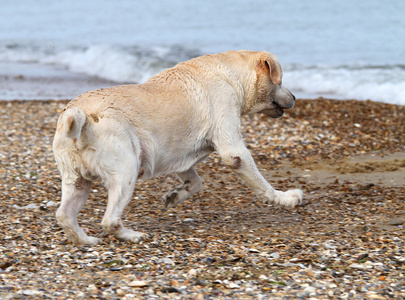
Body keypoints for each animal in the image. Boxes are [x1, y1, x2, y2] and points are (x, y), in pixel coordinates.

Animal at [52, 50, 300, 245]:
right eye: (280, 81)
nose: (295, 97)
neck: (232, 76)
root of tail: (80, 114)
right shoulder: (234, 150)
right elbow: (264, 186)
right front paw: (286, 198)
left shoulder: (179, 155)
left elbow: (196, 182)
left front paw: (174, 196)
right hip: (125, 170)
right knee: (109, 220)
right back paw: (131, 235)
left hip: (76, 180)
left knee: (64, 214)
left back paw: (84, 240)